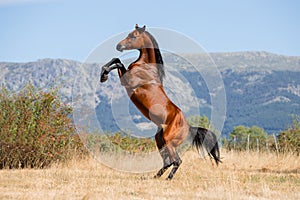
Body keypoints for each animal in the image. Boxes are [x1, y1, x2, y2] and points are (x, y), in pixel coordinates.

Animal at [100, 24, 220, 179]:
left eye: (133, 36)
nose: (118, 46)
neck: (146, 66)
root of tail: (188, 127)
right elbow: (117, 60)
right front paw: (103, 74)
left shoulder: (127, 81)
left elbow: (118, 63)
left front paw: (104, 74)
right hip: (160, 140)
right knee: (167, 162)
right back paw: (154, 178)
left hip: (169, 142)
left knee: (177, 161)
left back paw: (167, 179)